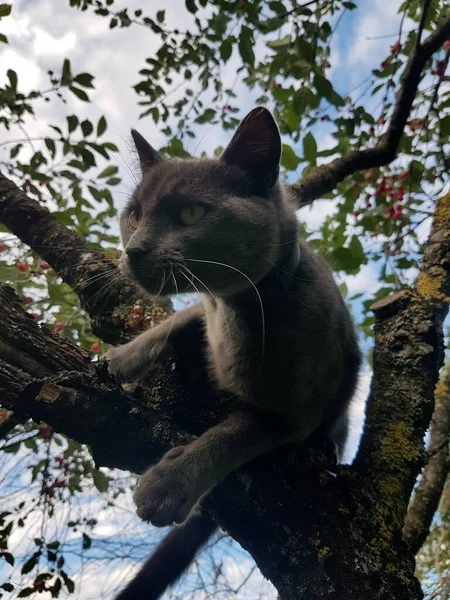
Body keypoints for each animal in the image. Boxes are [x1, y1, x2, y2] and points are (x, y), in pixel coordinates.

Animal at [107, 109, 360, 600]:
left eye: (189, 213)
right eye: (134, 215)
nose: (133, 250)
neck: (236, 313)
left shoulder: (292, 416)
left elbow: (234, 433)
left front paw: (168, 484)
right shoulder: (206, 308)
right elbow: (176, 321)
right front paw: (121, 358)